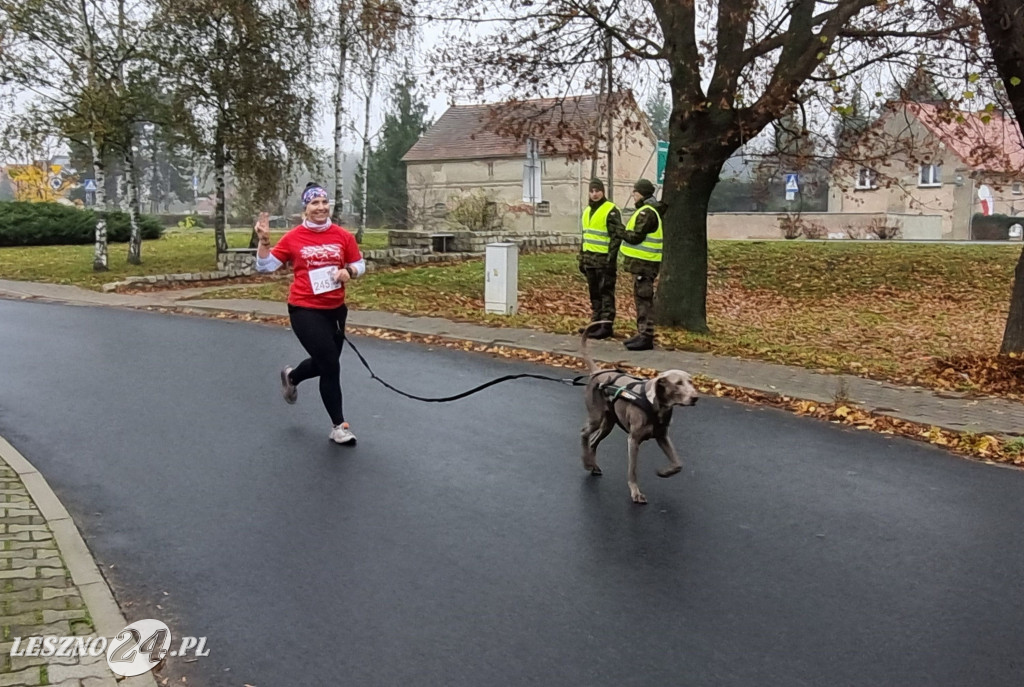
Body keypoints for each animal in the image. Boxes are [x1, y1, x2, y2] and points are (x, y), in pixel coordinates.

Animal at [581, 323, 700, 505]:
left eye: (691, 382)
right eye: (678, 383)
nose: (695, 397)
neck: (657, 406)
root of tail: (597, 372)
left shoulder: (662, 436)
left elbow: (678, 464)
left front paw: (664, 472)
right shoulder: (633, 440)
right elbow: (633, 470)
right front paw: (636, 493)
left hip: (608, 422)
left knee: (593, 441)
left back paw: (592, 465)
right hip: (596, 415)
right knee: (584, 434)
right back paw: (586, 462)